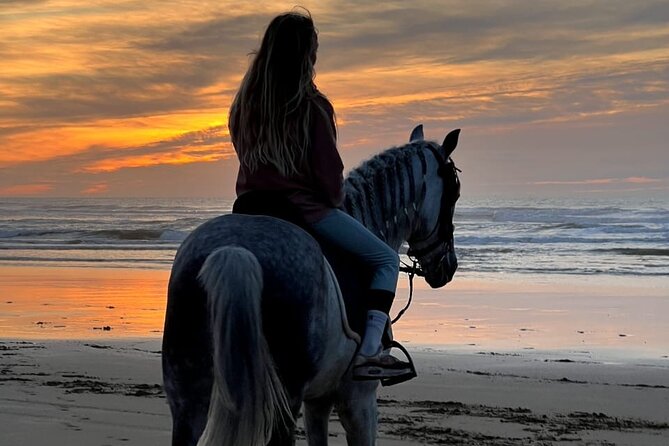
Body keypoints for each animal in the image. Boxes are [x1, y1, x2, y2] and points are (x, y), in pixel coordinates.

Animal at [162, 124, 461, 446]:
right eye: (453, 195)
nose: (449, 266)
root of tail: (234, 250)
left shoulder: (317, 399)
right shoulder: (358, 399)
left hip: (187, 394)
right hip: (283, 398)